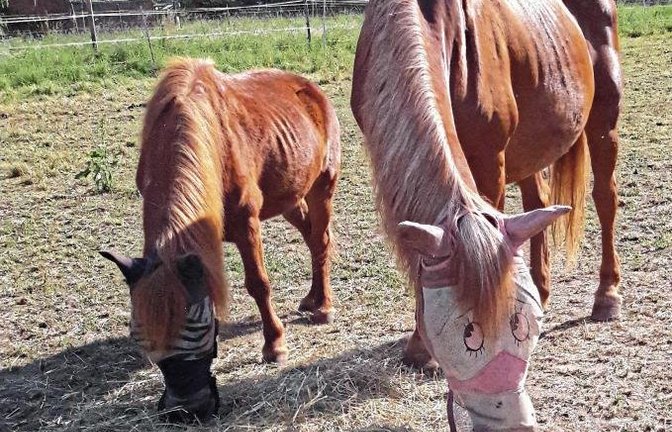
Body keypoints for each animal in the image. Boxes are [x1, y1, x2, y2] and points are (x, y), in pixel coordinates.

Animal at [101, 58, 340, 422]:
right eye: (143, 341)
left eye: (198, 328)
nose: (186, 410)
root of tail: (307, 85)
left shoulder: (246, 224)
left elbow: (258, 285)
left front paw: (274, 345)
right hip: (289, 195)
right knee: (312, 239)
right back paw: (312, 299)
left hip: (322, 185)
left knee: (322, 240)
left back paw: (323, 307)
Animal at [351, 0, 621, 429]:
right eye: (467, 334)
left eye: (520, 329)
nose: (512, 420)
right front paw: (418, 346)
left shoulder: (489, 163)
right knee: (535, 200)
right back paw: (543, 285)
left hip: (605, 117)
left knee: (605, 199)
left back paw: (608, 296)